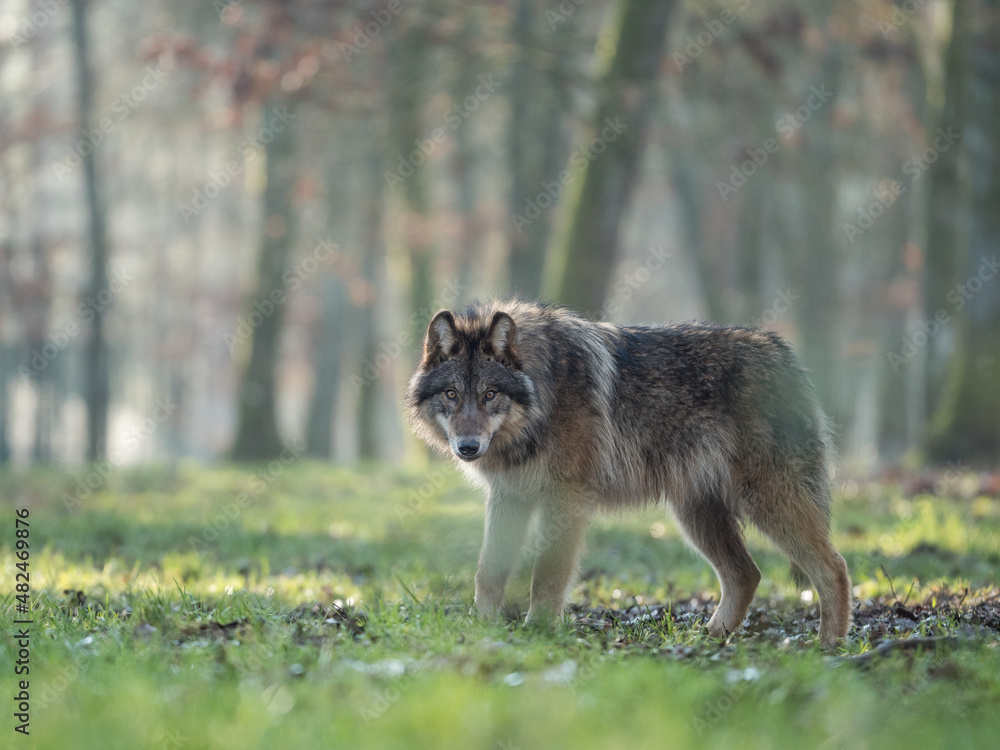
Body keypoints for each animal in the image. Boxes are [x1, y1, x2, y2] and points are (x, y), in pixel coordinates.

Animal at [405, 300, 851, 647]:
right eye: (452, 395)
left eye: (489, 395)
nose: (467, 447)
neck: (542, 398)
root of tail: (782, 352)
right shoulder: (508, 497)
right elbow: (487, 573)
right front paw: (482, 630)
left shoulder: (566, 497)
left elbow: (546, 574)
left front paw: (538, 631)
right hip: (697, 516)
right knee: (747, 575)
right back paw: (709, 639)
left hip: (767, 502)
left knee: (834, 568)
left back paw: (828, 647)